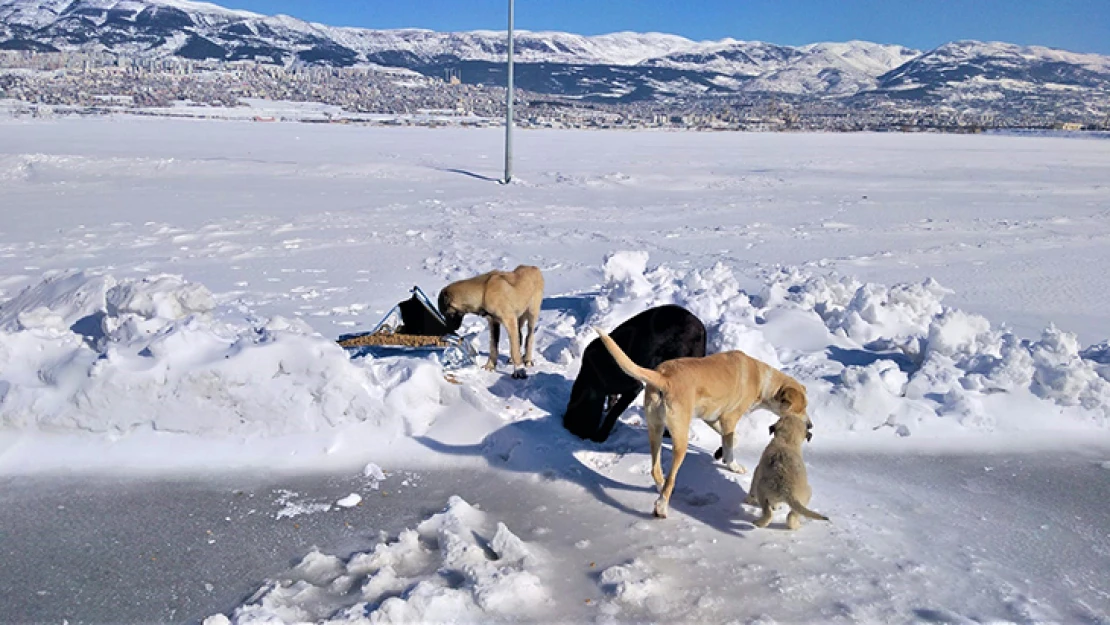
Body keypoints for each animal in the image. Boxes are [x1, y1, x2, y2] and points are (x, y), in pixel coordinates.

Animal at [590, 328, 816, 523]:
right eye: (801, 409)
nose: (811, 425)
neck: (762, 381)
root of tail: (663, 377)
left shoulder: (713, 417)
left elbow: (732, 439)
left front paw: (721, 454)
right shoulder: (729, 418)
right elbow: (731, 443)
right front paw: (731, 464)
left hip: (655, 430)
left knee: (655, 470)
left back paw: (660, 488)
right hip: (680, 438)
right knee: (671, 477)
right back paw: (661, 507)